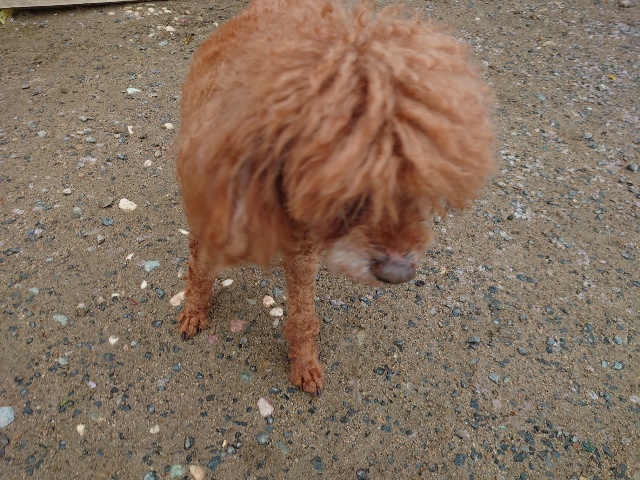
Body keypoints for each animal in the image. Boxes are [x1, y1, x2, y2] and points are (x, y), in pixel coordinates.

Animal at [175, 0, 495, 394]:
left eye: (417, 184)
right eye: (345, 187)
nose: (399, 274)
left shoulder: (303, 254)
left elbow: (303, 315)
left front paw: (304, 364)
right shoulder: (210, 212)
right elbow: (199, 266)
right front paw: (193, 310)